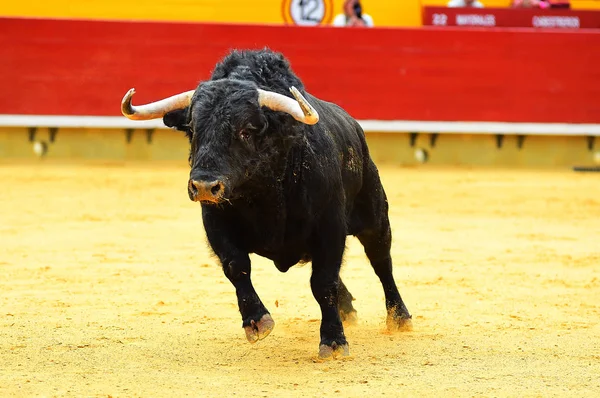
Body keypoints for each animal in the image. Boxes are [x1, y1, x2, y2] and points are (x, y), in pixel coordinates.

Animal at [122, 49, 412, 358]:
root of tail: (355, 127)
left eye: (246, 131)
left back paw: (399, 317)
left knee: (381, 261)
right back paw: (348, 309)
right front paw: (256, 321)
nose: (203, 186)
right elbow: (236, 266)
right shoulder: (216, 222)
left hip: (375, 215)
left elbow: (323, 282)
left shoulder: (330, 226)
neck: (263, 191)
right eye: (193, 129)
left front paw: (333, 341)